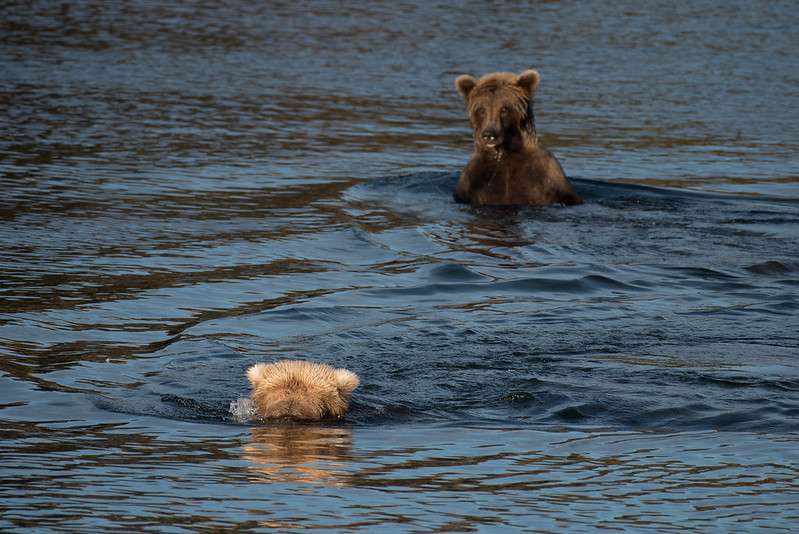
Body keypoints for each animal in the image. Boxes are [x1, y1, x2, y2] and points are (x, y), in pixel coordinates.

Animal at [456, 69, 580, 207]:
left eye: (504, 108)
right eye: (481, 109)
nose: (489, 135)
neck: (505, 152)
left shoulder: (547, 172)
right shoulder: (473, 178)